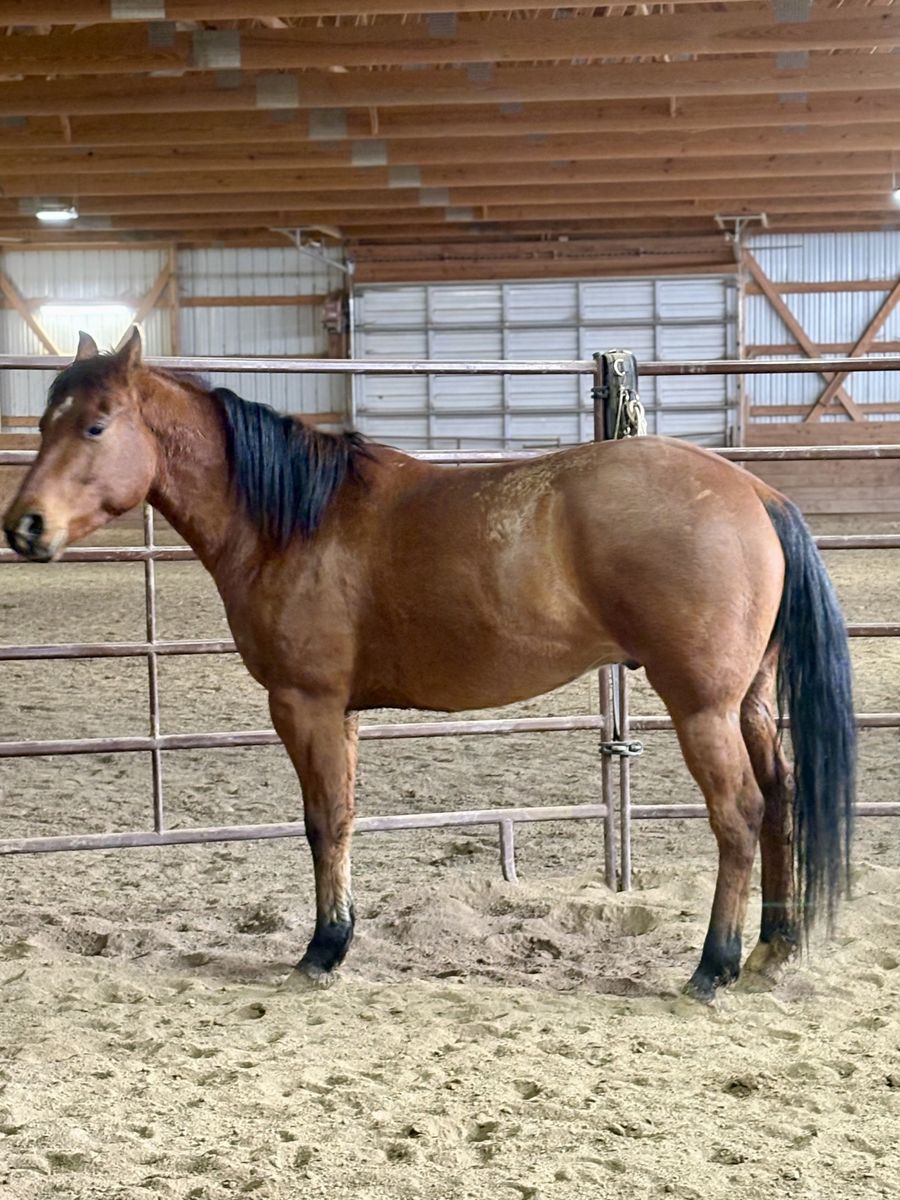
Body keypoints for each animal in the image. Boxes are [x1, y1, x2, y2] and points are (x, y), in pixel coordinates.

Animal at [3, 328, 856, 1002]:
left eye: (95, 426)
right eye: (45, 423)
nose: (24, 527)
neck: (294, 520)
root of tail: (754, 491)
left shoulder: (304, 702)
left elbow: (321, 820)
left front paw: (322, 950)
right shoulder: (339, 712)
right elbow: (343, 817)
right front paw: (338, 938)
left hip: (702, 708)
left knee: (739, 813)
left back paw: (714, 966)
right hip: (748, 703)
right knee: (780, 798)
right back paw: (773, 950)